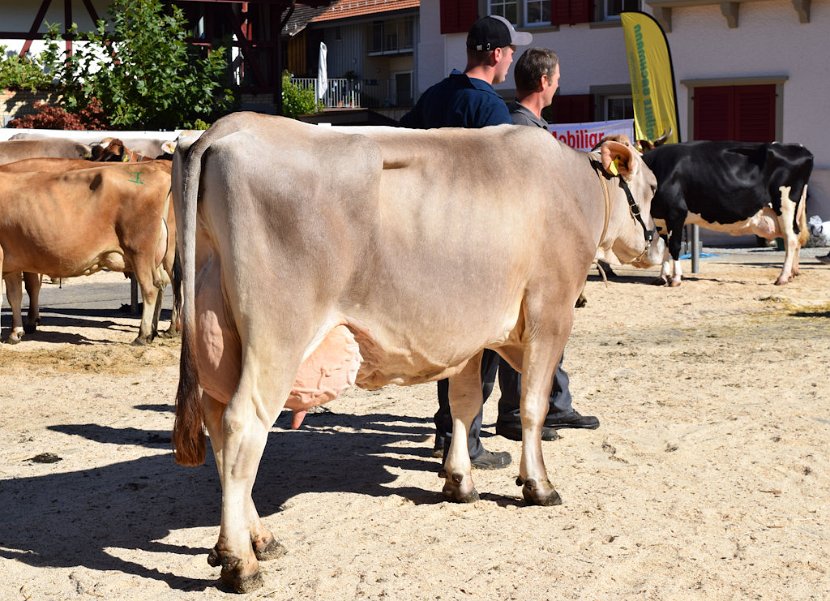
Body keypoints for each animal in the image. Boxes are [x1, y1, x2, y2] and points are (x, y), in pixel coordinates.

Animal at [0, 159, 174, 344]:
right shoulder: (12, 261)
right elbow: (15, 296)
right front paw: (16, 333)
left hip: (140, 251)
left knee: (150, 288)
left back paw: (143, 335)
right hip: (154, 257)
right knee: (160, 284)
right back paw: (153, 332)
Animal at [172, 112, 668, 592]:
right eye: (653, 187)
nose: (659, 244)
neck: (576, 187)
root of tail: (231, 126)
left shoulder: (470, 335)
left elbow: (465, 404)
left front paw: (460, 481)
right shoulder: (552, 312)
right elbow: (532, 406)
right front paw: (539, 485)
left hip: (219, 339)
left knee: (218, 428)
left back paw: (261, 538)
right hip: (277, 335)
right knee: (243, 427)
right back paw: (240, 562)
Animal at [648, 141, 816, 286]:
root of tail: (798, 147)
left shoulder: (676, 212)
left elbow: (674, 245)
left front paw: (675, 278)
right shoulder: (661, 219)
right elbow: (665, 245)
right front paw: (663, 276)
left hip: (785, 206)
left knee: (791, 238)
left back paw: (783, 277)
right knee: (797, 237)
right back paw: (793, 273)